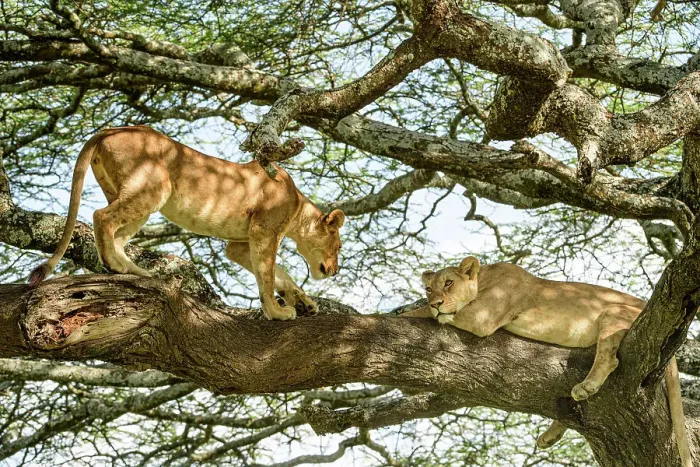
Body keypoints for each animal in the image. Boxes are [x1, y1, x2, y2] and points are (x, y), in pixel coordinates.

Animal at [28, 126, 345, 321]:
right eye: (339, 245)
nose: (335, 270)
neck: (298, 208)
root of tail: (111, 129)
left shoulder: (239, 246)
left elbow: (280, 275)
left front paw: (304, 302)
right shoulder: (263, 232)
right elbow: (267, 276)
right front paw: (277, 312)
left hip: (134, 195)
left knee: (116, 234)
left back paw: (138, 272)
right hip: (154, 188)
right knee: (100, 216)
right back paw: (116, 266)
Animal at [402, 256, 691, 466]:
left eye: (449, 283)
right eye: (428, 288)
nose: (437, 301)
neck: (485, 278)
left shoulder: (482, 316)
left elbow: (424, 313)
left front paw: (398, 313)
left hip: (613, 312)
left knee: (609, 360)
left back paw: (586, 386)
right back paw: (550, 435)